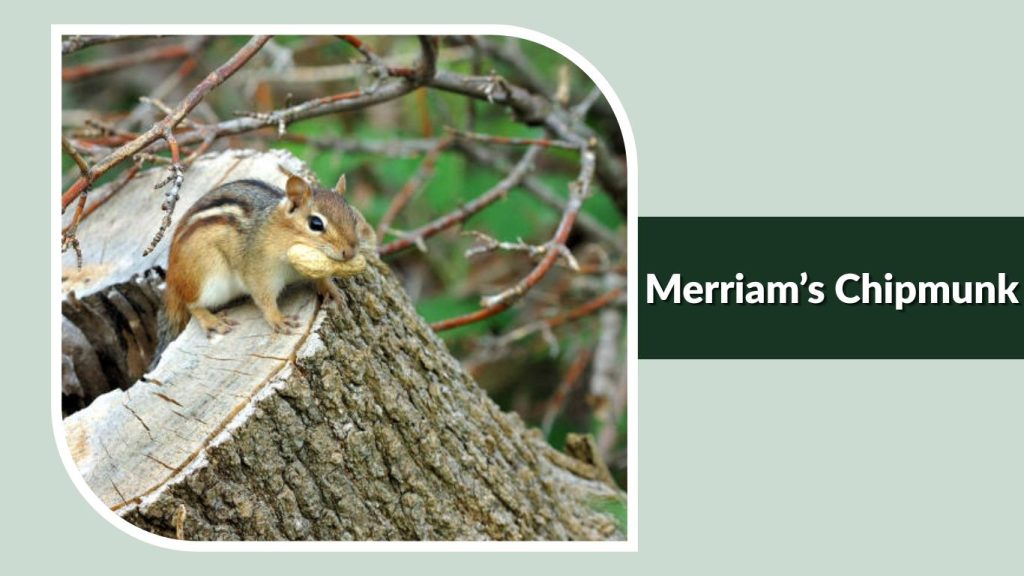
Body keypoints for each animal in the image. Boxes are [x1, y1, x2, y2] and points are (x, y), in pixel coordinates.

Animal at [163, 174, 369, 338]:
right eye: (316, 224)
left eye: (353, 217)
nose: (350, 251)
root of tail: (172, 280)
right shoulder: (259, 272)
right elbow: (264, 298)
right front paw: (277, 319)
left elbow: (321, 277)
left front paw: (332, 290)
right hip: (206, 276)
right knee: (192, 304)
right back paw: (212, 321)